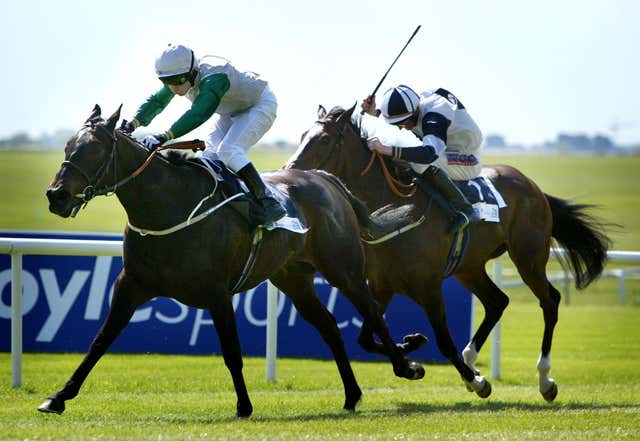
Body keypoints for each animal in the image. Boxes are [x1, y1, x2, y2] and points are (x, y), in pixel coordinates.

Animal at [40, 105, 422, 418]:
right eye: (68, 146)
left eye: (94, 150)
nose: (56, 195)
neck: (167, 205)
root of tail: (327, 179)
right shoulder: (131, 283)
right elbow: (100, 341)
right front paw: (58, 397)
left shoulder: (216, 292)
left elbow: (231, 352)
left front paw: (244, 405)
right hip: (293, 277)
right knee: (329, 326)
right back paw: (352, 394)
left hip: (344, 269)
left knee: (372, 312)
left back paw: (407, 365)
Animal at [284, 105, 608, 400]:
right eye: (301, 136)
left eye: (324, 139)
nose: (289, 171)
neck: (393, 211)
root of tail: (531, 185)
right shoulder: (382, 284)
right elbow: (365, 336)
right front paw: (412, 349)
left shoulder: (428, 287)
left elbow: (443, 342)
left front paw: (478, 382)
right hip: (469, 268)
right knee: (497, 302)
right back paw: (472, 359)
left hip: (528, 256)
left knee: (549, 301)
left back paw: (544, 379)